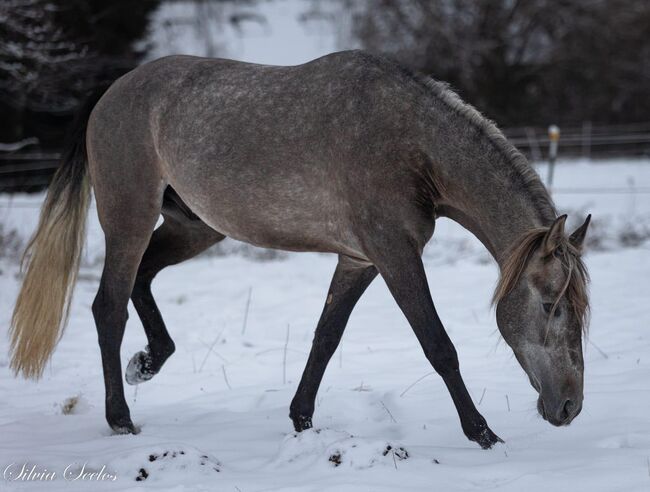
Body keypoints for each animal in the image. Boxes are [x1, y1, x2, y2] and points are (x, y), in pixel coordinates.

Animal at [10, 51, 588, 450]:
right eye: (550, 305)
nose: (568, 407)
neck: (412, 146)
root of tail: (113, 91)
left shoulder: (360, 259)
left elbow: (326, 338)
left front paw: (302, 420)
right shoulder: (395, 254)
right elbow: (439, 346)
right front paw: (482, 434)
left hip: (193, 227)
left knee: (142, 281)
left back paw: (148, 363)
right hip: (128, 218)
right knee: (108, 306)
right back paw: (122, 419)